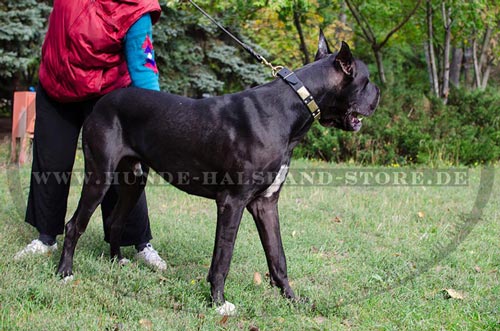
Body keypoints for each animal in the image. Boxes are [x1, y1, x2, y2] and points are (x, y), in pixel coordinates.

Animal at [56, 31, 378, 314]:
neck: (292, 106)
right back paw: (65, 272)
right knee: (73, 225)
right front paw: (218, 302)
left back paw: (116, 262)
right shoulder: (232, 201)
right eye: (367, 81)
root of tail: (102, 102)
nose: (378, 93)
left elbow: (278, 257)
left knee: (116, 220)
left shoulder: (266, 203)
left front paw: (292, 299)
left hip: (134, 180)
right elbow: (223, 257)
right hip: (100, 174)